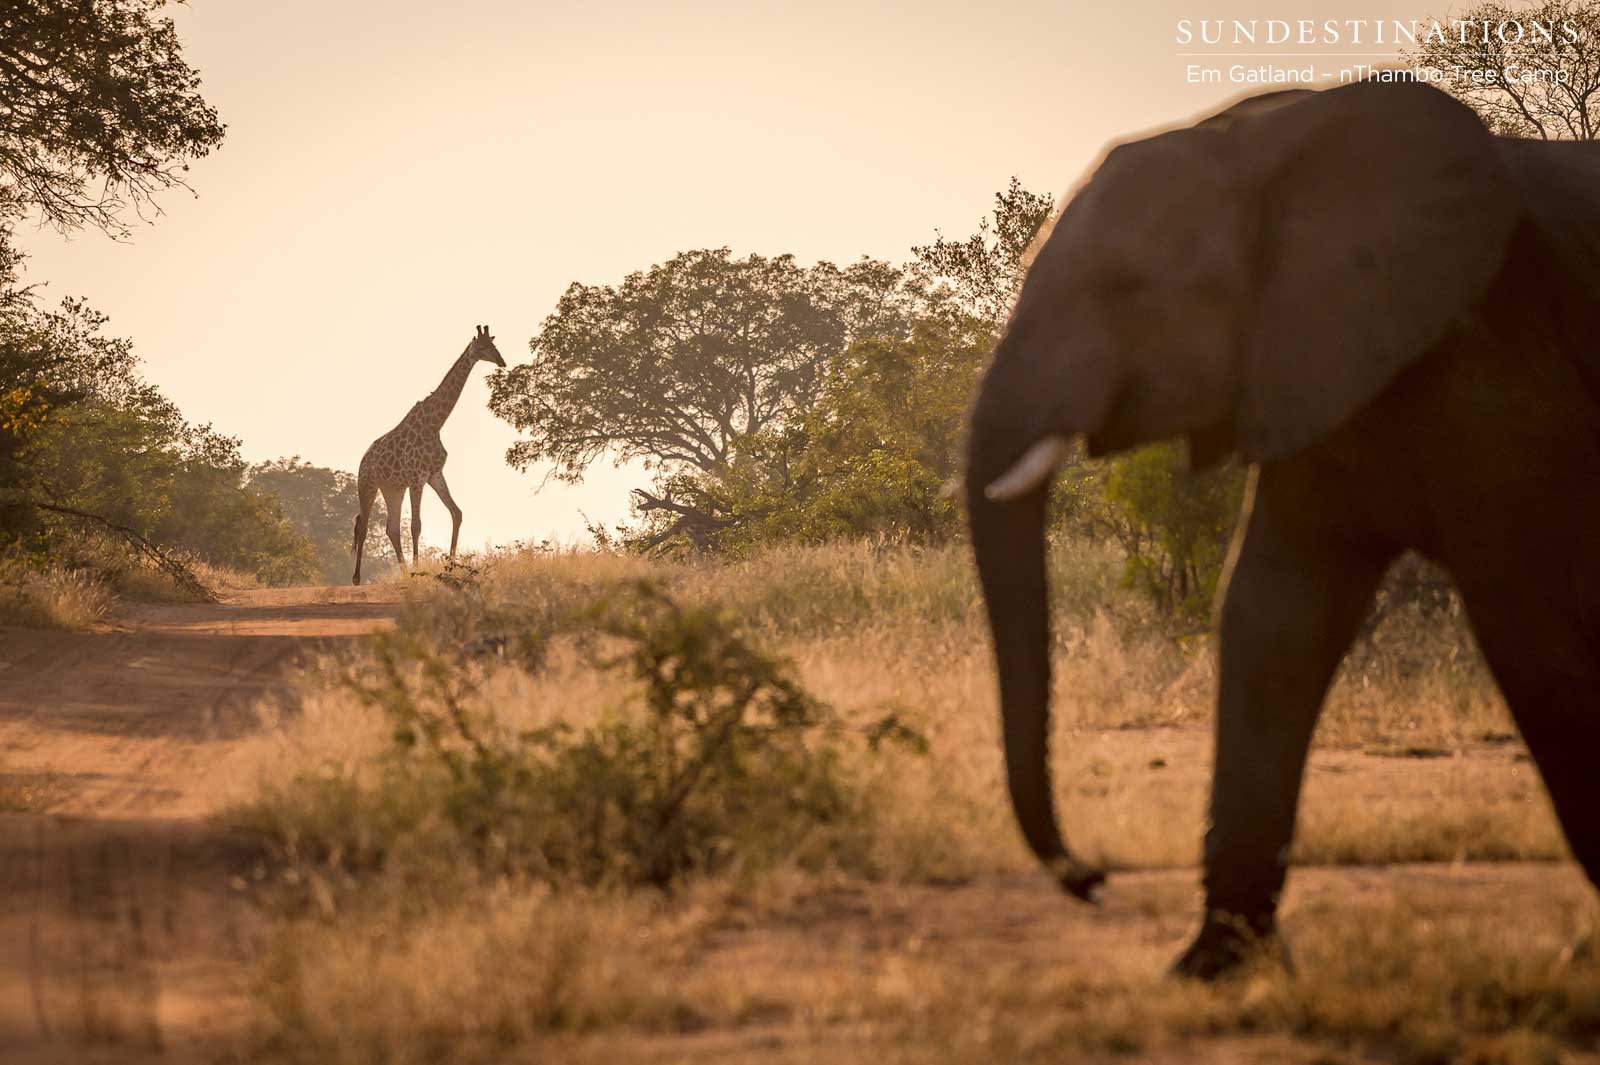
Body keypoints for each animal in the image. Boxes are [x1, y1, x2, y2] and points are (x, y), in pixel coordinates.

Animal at [352, 325, 506, 584]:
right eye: (483, 347)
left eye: (495, 345)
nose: (502, 362)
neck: (435, 423)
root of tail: (362, 460)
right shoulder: (418, 477)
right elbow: (416, 525)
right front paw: (418, 569)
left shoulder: (434, 474)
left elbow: (457, 513)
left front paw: (450, 566)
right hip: (368, 485)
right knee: (363, 525)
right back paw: (357, 578)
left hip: (393, 488)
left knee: (391, 527)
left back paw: (403, 572)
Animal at [965, 79, 1600, 979]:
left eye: (1128, 288)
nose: (1093, 877)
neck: (1271, 147)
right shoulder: (1311, 354)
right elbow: (1273, 614)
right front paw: (1210, 967)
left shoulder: (1507, 355)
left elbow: (1538, 635)